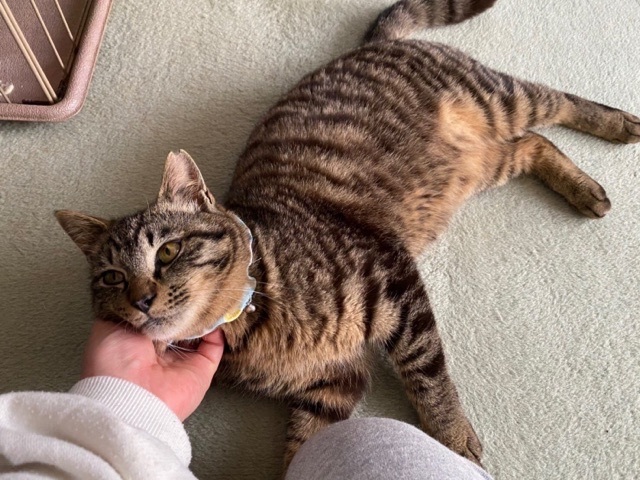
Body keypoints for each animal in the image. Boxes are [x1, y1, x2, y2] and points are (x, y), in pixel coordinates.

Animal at [55, 0, 640, 470]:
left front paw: (453, 436)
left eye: (169, 251)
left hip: (498, 98)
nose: (141, 298)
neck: (252, 326)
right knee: (534, 145)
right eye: (111, 277)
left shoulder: (393, 278)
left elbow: (428, 373)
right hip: (482, 162)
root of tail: (370, 47)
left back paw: (616, 128)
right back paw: (583, 187)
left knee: (557, 101)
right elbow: (304, 447)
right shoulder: (332, 386)